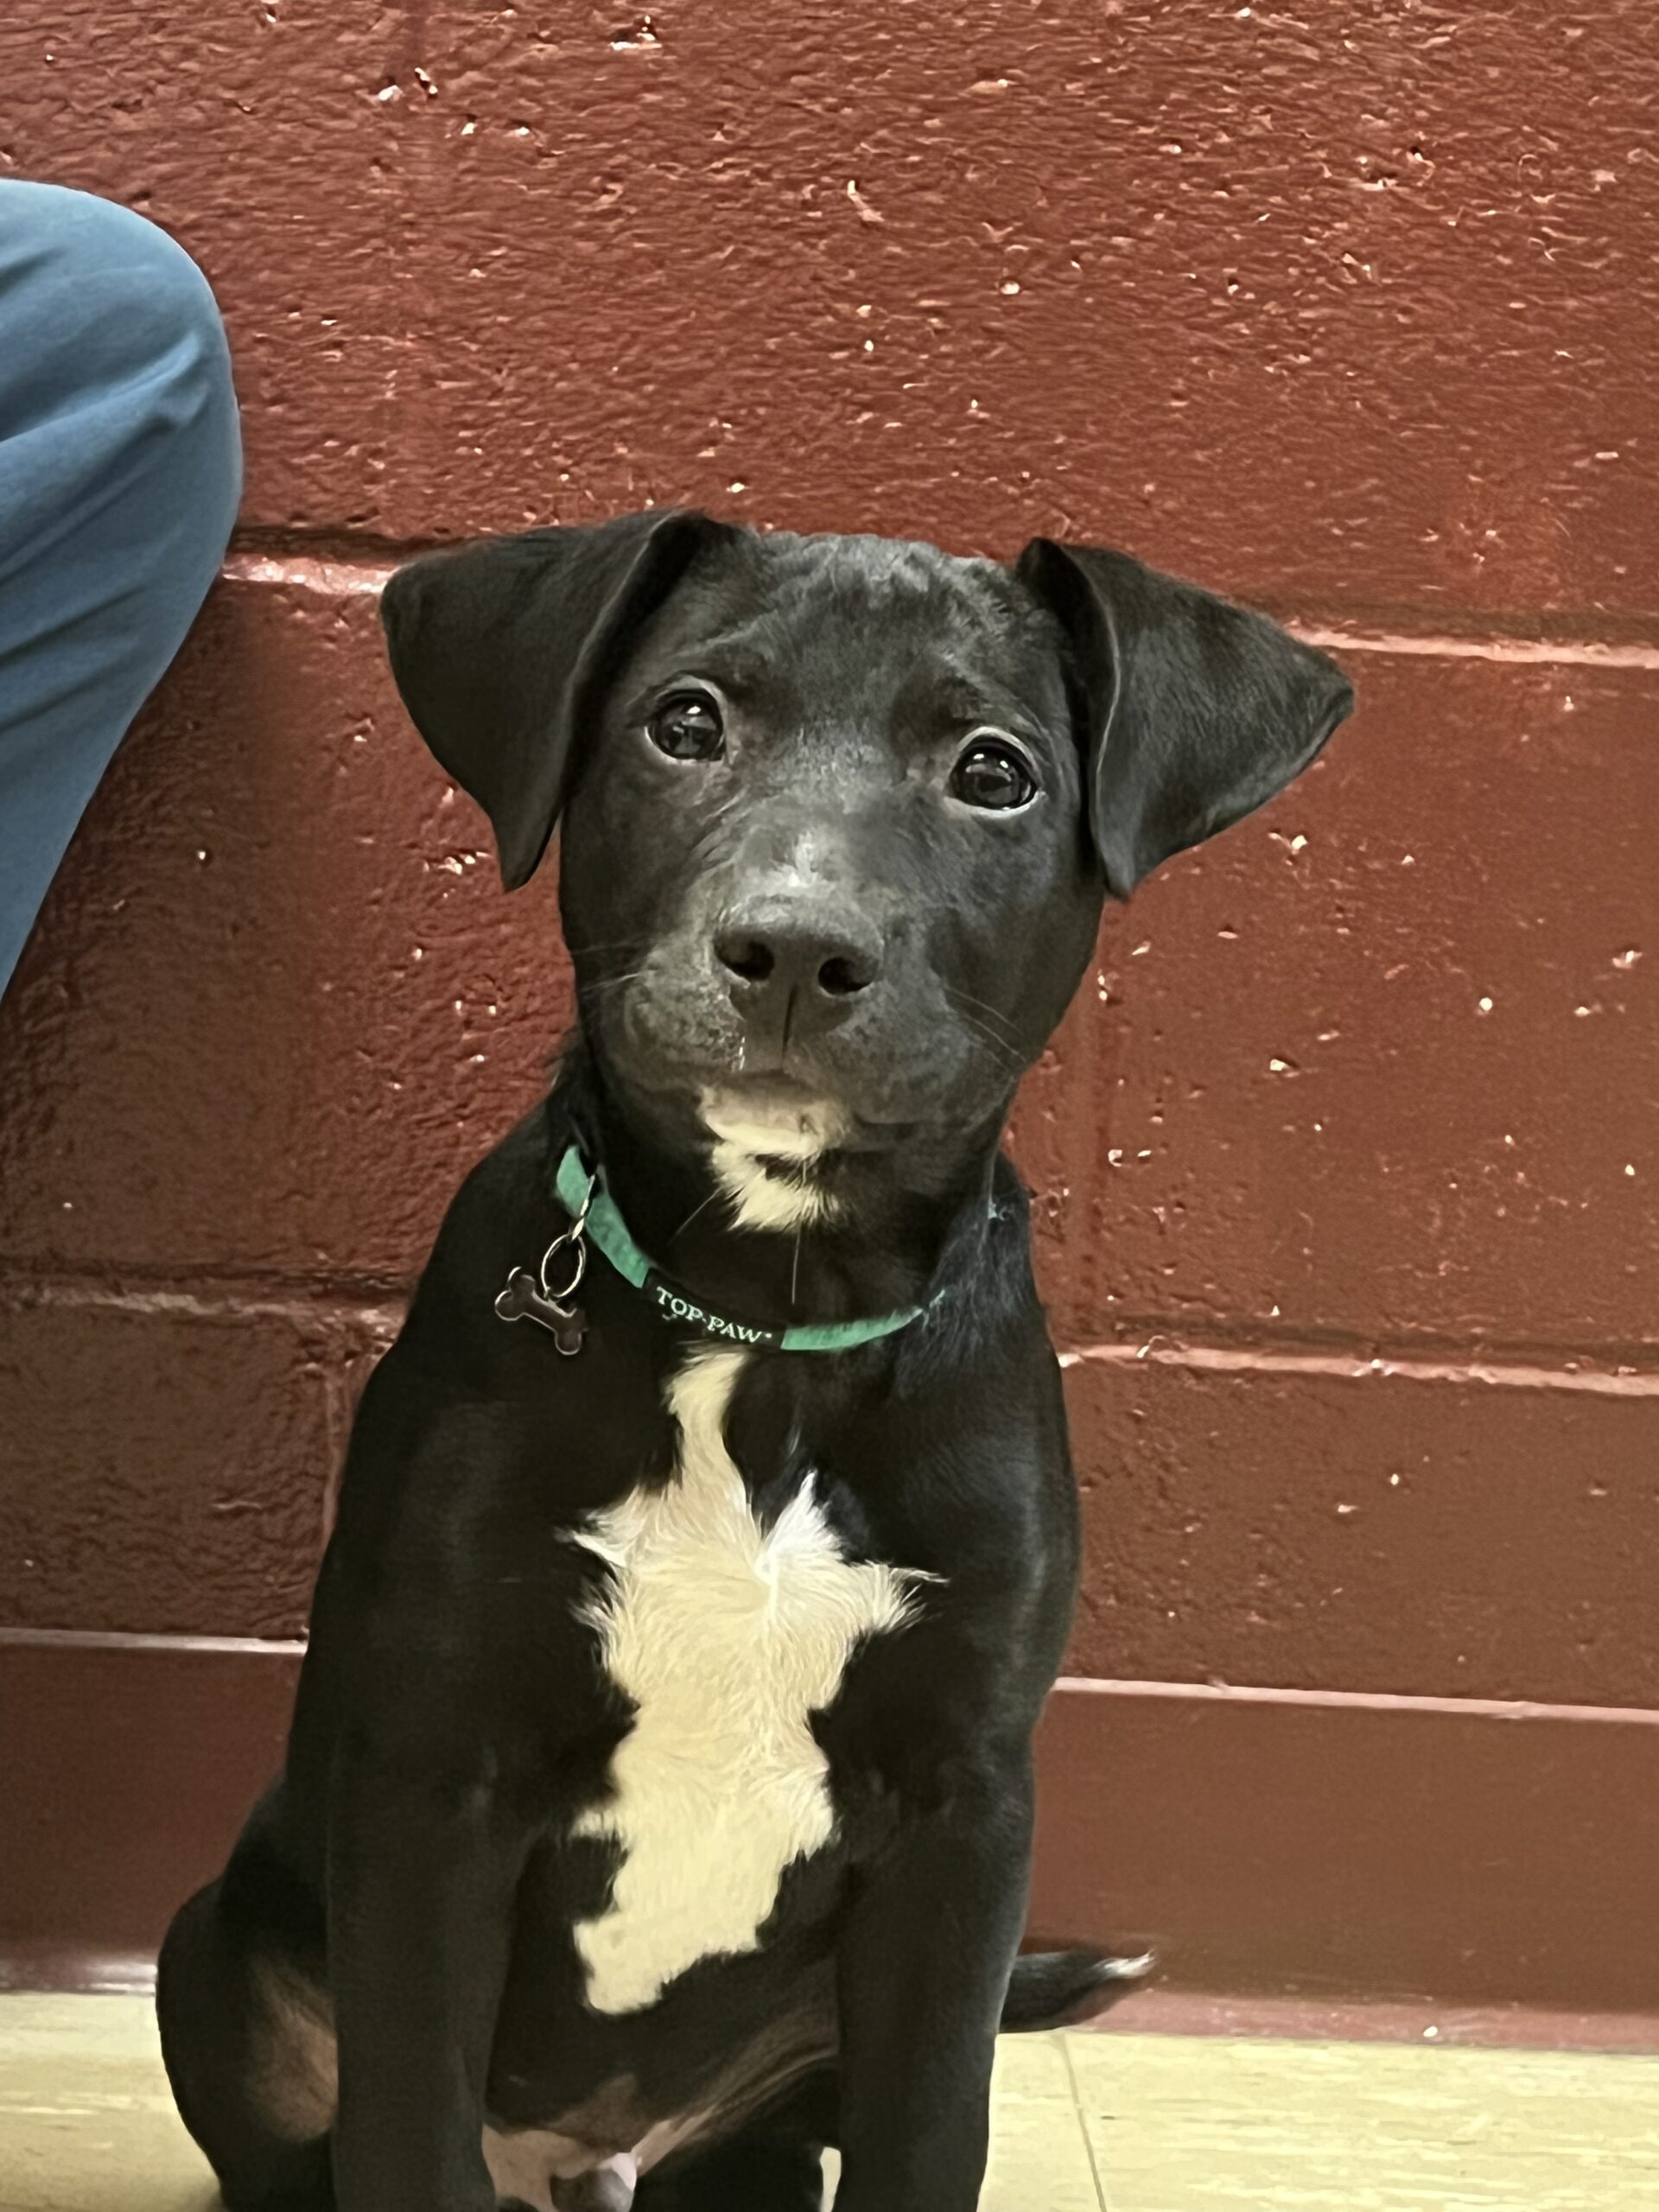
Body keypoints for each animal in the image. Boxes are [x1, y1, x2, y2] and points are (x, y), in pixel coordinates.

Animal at [152, 512, 1353, 2212]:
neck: (765, 1320)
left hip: (776, 2098)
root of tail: (583, 2159)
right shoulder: (430, 1787)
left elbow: (932, 2130)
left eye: (995, 772)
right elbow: (407, 2127)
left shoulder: (962, 1818)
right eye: (688, 722)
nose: (793, 947)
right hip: (221, 1965)